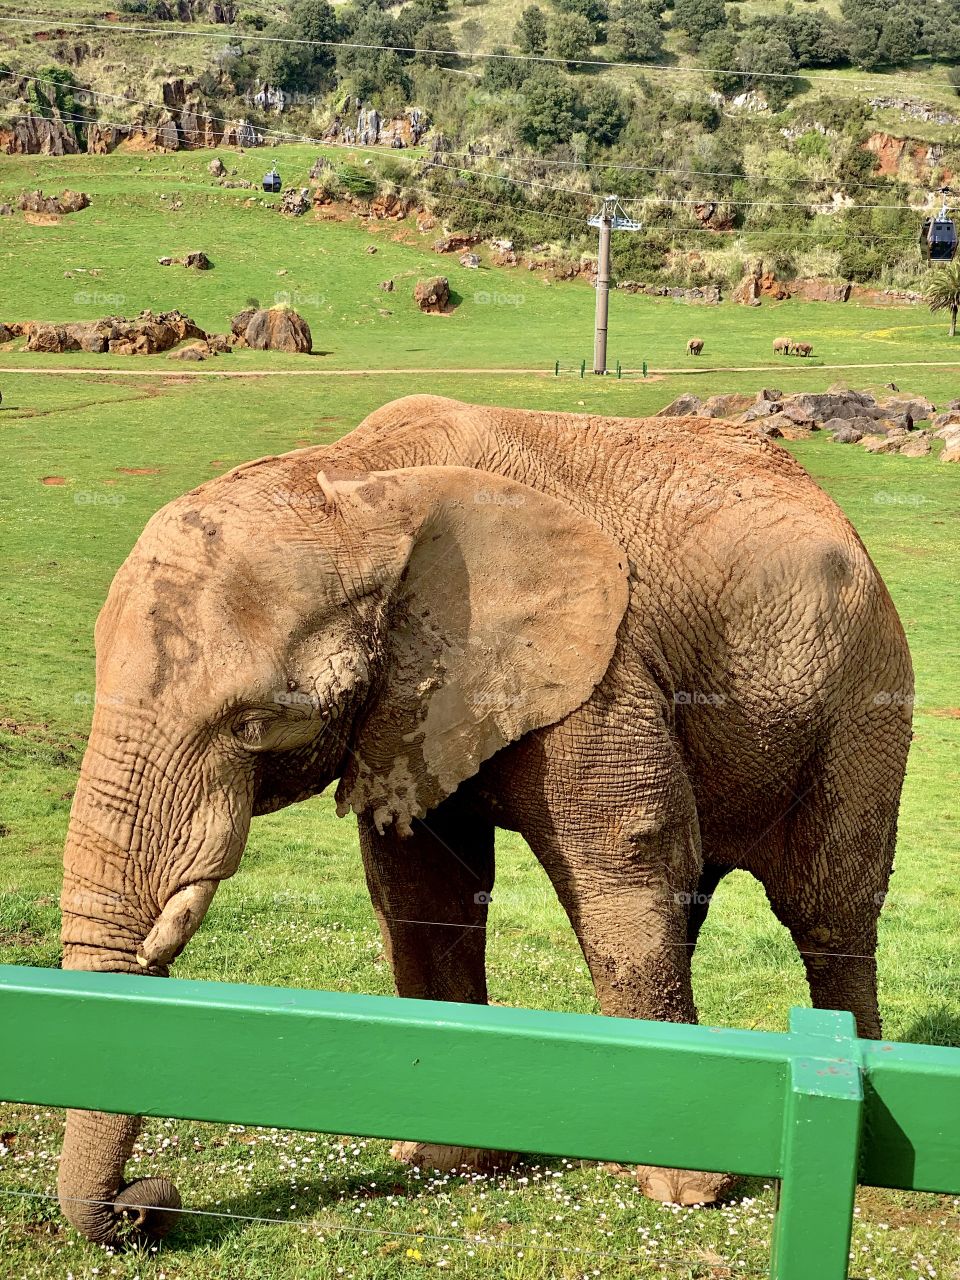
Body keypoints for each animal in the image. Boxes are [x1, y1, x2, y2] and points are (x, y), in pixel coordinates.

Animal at [58, 395, 914, 1242]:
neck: (361, 483)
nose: (146, 1201)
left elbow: (625, 856)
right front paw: (442, 1160)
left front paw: (684, 1191)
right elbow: (423, 887)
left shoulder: (602, 666)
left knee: (826, 902)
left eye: (254, 723)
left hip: (866, 691)